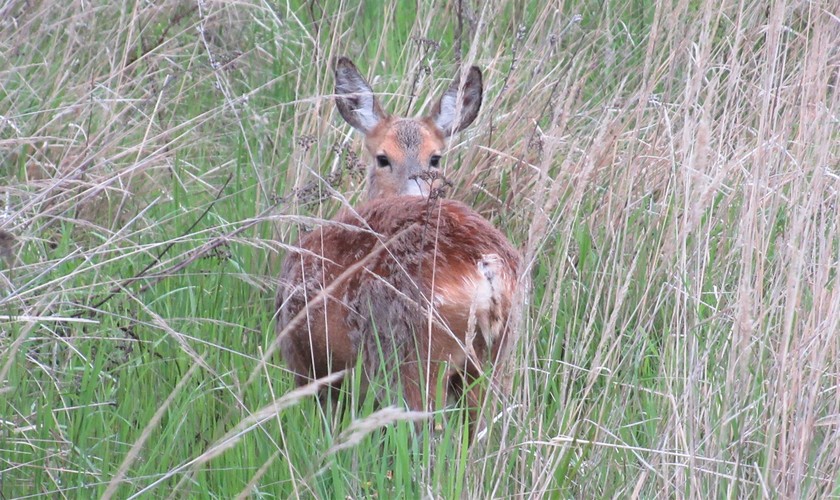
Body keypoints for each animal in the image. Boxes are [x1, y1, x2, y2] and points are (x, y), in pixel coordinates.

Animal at [276, 56, 520, 436]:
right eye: (383, 158)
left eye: (435, 158)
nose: (417, 192)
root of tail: (486, 268)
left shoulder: (308, 364)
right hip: (491, 358)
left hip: (415, 356)